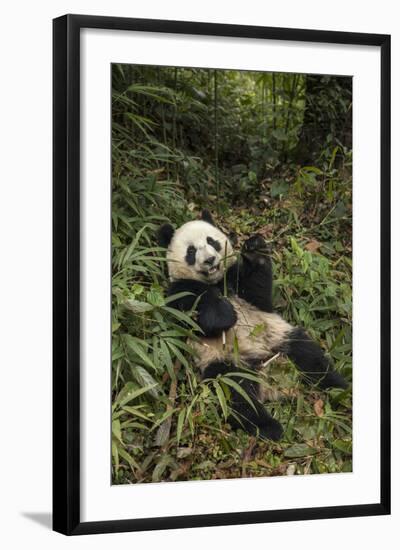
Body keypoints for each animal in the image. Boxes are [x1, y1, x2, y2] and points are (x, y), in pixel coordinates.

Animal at [158, 211, 348, 444]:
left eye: (212, 242)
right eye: (191, 251)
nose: (210, 260)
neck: (216, 281)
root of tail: (270, 382)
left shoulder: (238, 281)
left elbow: (259, 292)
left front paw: (255, 248)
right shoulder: (178, 292)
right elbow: (195, 316)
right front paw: (225, 315)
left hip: (280, 338)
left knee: (310, 358)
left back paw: (340, 389)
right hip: (224, 362)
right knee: (237, 394)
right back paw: (269, 427)